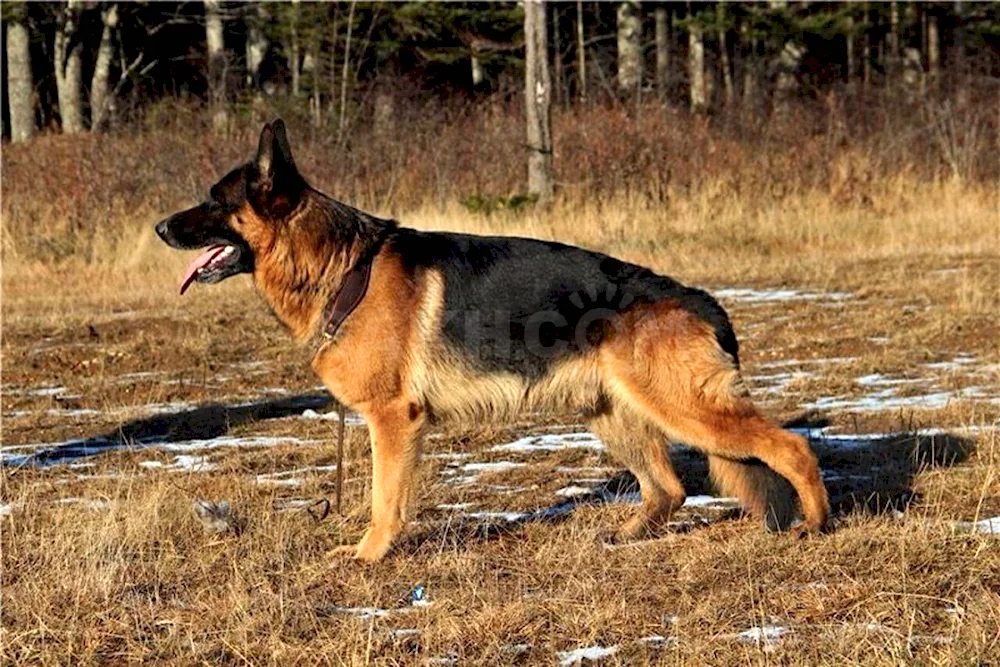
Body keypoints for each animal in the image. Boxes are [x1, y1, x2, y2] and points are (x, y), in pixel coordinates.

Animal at [156, 121, 828, 564]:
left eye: (215, 200)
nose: (160, 226)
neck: (341, 264)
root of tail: (698, 298)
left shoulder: (392, 420)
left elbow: (382, 498)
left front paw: (370, 556)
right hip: (614, 414)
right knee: (670, 488)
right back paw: (628, 535)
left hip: (685, 408)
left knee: (791, 447)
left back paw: (817, 525)